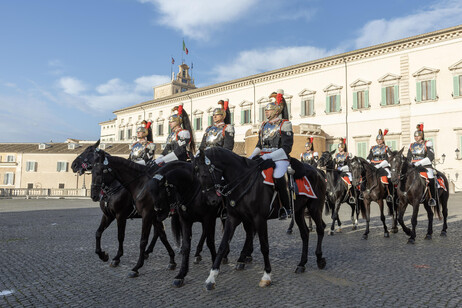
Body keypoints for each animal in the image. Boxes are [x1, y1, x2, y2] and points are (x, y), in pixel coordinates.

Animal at [196, 148, 328, 290]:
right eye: (197, 175)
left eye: (204, 175)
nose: (212, 200)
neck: (243, 181)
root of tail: (318, 171)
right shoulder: (233, 218)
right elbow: (223, 245)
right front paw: (211, 278)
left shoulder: (259, 219)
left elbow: (264, 246)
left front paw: (266, 276)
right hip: (298, 211)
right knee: (305, 234)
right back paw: (301, 264)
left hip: (315, 207)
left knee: (320, 229)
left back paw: (320, 259)